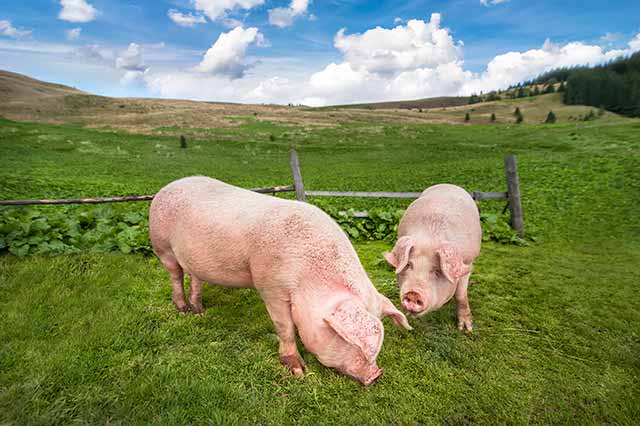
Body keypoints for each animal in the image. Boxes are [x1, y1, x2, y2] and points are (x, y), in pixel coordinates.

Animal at [149, 176, 410, 386]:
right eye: (345, 339)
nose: (376, 374)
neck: (307, 277)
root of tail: (166, 187)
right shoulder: (270, 286)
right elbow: (284, 326)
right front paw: (298, 371)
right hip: (162, 245)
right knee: (175, 275)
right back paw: (183, 309)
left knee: (194, 277)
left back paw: (200, 312)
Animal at [384, 183, 480, 332]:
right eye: (408, 265)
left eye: (437, 271)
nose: (413, 293)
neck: (430, 238)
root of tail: (448, 184)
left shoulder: (468, 263)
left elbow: (460, 294)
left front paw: (466, 329)